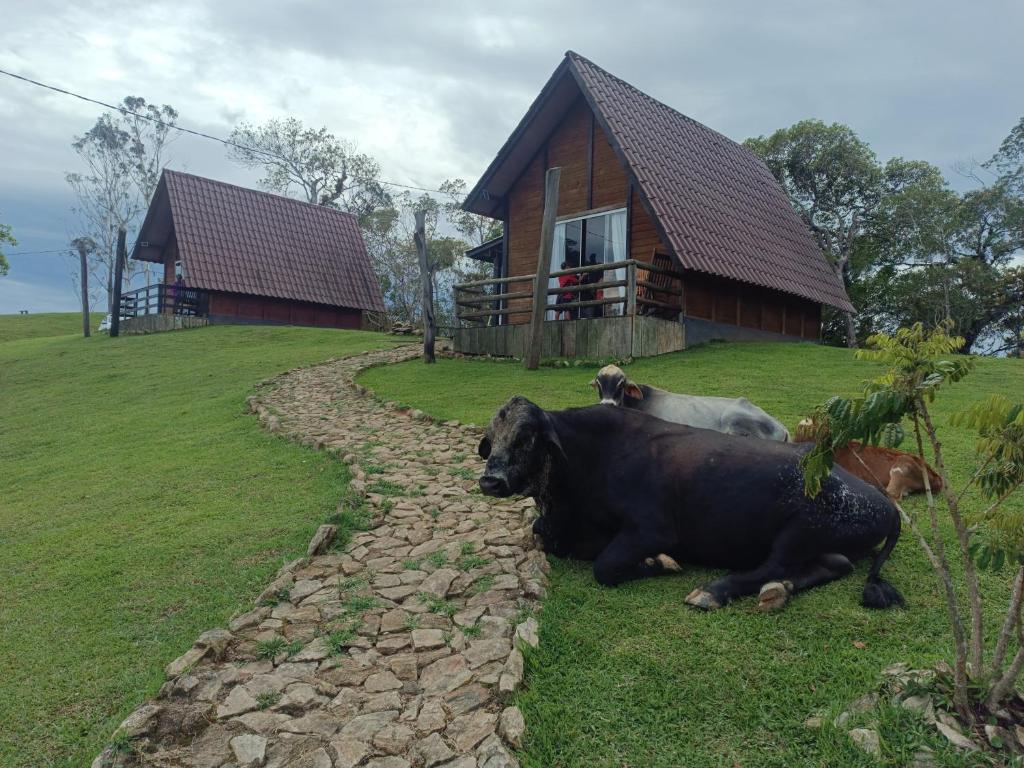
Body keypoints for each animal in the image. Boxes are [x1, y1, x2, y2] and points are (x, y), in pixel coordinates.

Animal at [477, 396, 903, 612]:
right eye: (491, 439)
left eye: (525, 437)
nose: (490, 480)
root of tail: (883, 502)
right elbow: (544, 535)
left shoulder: (653, 529)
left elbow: (606, 566)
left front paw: (659, 563)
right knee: (834, 564)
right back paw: (777, 591)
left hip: (798, 530)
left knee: (774, 564)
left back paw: (714, 590)